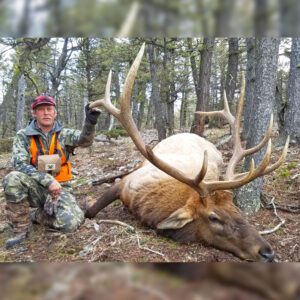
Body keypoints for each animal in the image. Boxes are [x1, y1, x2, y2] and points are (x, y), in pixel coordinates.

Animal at [85, 43, 290, 262]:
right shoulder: (127, 182)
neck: (144, 204)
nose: (267, 252)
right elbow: (91, 210)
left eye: (236, 208)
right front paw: (88, 200)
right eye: (214, 217)